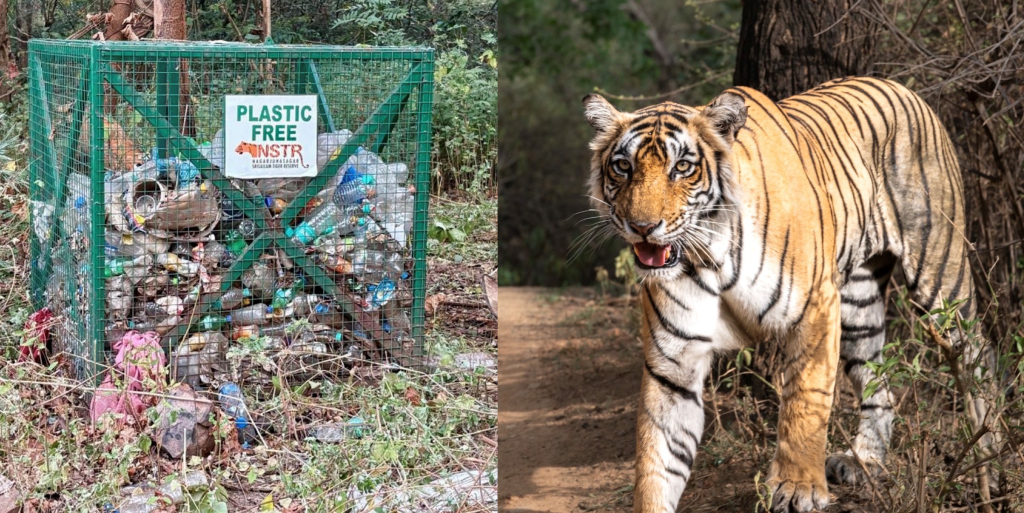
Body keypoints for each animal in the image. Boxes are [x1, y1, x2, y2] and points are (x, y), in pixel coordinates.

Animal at [582, 77, 984, 512]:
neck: (709, 253)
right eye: (623, 166)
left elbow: (805, 404)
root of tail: (898, 83)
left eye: (682, 168)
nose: (642, 227)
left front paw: (798, 487)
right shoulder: (674, 362)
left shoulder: (816, 310)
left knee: (978, 359)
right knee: (878, 382)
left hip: (940, 274)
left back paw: (988, 461)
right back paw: (865, 460)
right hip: (858, 306)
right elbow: (657, 459)